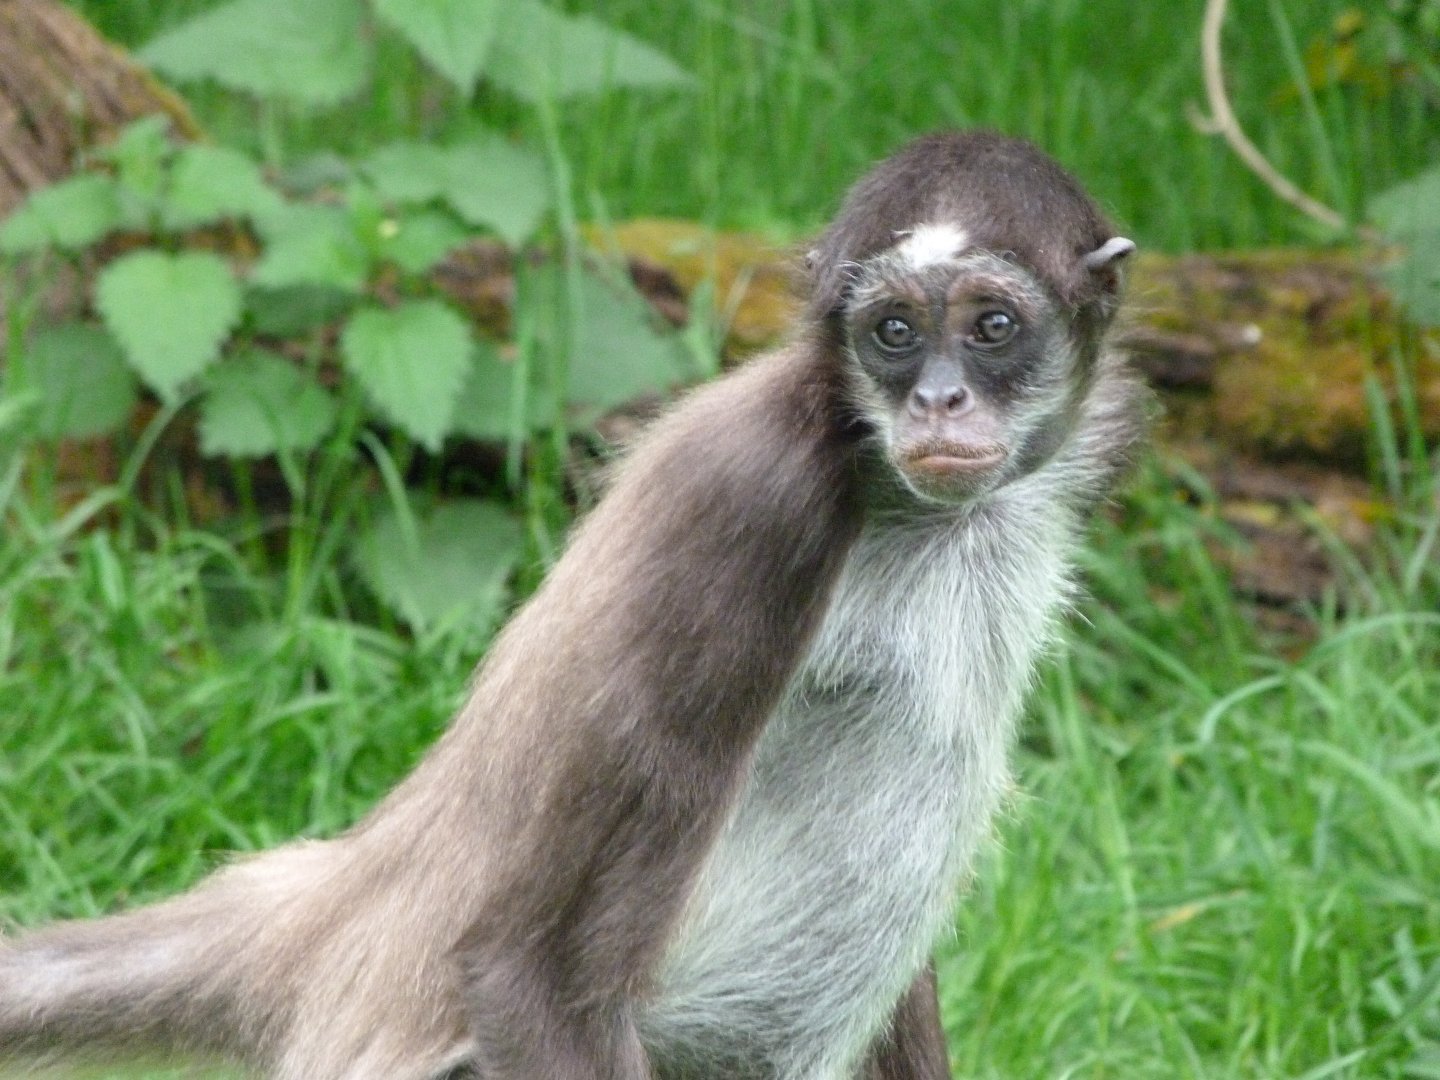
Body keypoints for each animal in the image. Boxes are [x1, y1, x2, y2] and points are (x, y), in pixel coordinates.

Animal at [0, 130, 1147, 1080]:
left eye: (992, 327)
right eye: (894, 333)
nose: (938, 401)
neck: (910, 502)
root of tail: (346, 903)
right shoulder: (754, 496)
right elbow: (528, 975)